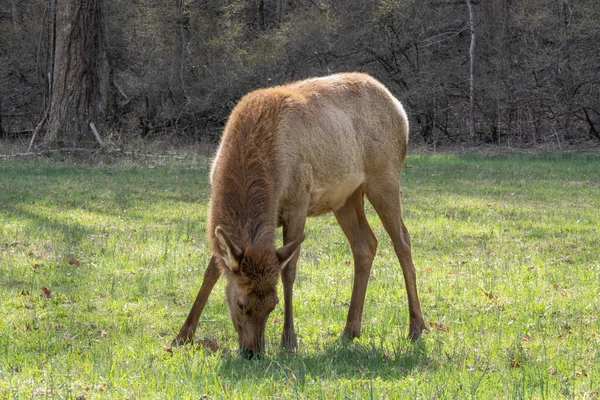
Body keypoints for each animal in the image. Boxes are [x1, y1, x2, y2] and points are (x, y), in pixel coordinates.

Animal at [173, 73, 426, 358]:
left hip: (384, 176)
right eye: (240, 303)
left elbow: (289, 272)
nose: (253, 353)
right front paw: (182, 336)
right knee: (365, 244)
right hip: (346, 196)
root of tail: (400, 110)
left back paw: (416, 327)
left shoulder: (298, 202)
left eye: (273, 304)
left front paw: (289, 341)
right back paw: (350, 330)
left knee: (402, 240)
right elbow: (212, 269)